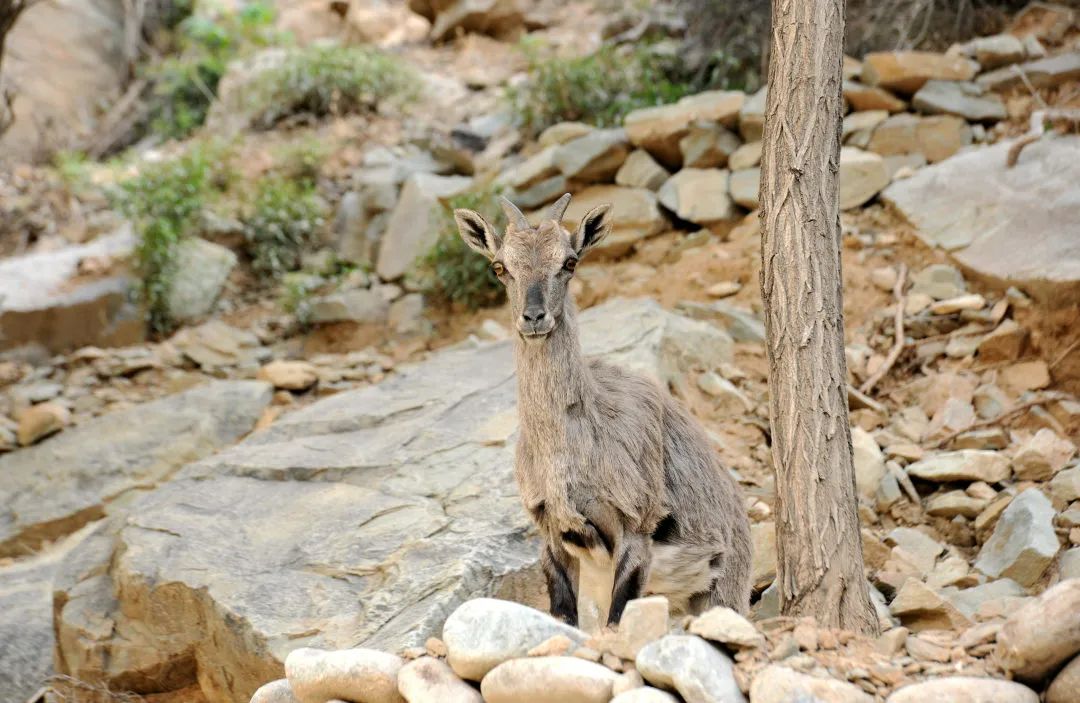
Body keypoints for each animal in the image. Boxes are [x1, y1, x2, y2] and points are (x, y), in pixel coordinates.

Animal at [455, 192, 751, 626]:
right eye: (500, 267)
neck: (568, 449)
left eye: (569, 262)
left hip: (722, 588)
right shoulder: (552, 531)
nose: (534, 317)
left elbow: (617, 618)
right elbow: (564, 615)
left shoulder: (635, 524)